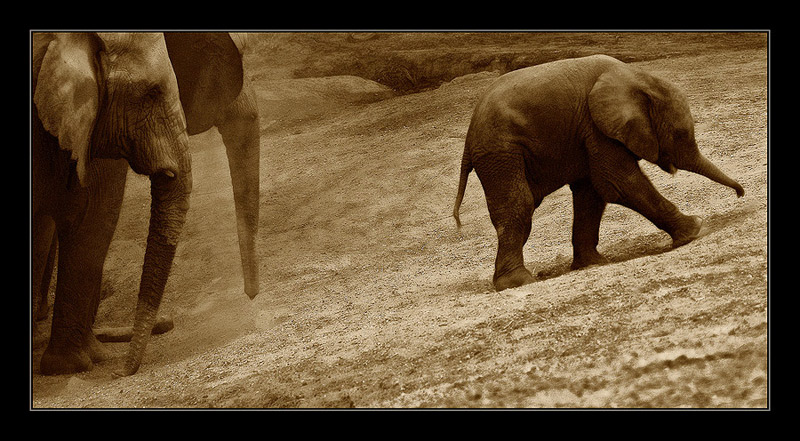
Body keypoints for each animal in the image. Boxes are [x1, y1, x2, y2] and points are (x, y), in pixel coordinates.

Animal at [454, 53, 748, 290]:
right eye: (679, 134)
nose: (741, 193)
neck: (637, 77)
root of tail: (469, 136)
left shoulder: (586, 131)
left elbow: (592, 193)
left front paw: (594, 264)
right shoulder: (596, 126)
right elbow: (618, 182)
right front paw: (697, 227)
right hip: (500, 152)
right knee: (519, 205)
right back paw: (519, 282)